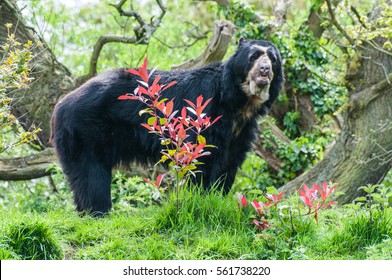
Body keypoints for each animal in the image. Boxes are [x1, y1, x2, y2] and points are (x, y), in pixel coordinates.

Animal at [50, 38, 284, 215]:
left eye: (272, 59)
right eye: (253, 57)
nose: (265, 70)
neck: (240, 103)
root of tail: (60, 105)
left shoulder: (241, 131)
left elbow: (230, 162)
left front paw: (218, 196)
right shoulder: (205, 115)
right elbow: (203, 157)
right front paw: (203, 197)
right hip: (87, 131)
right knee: (92, 174)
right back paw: (98, 211)